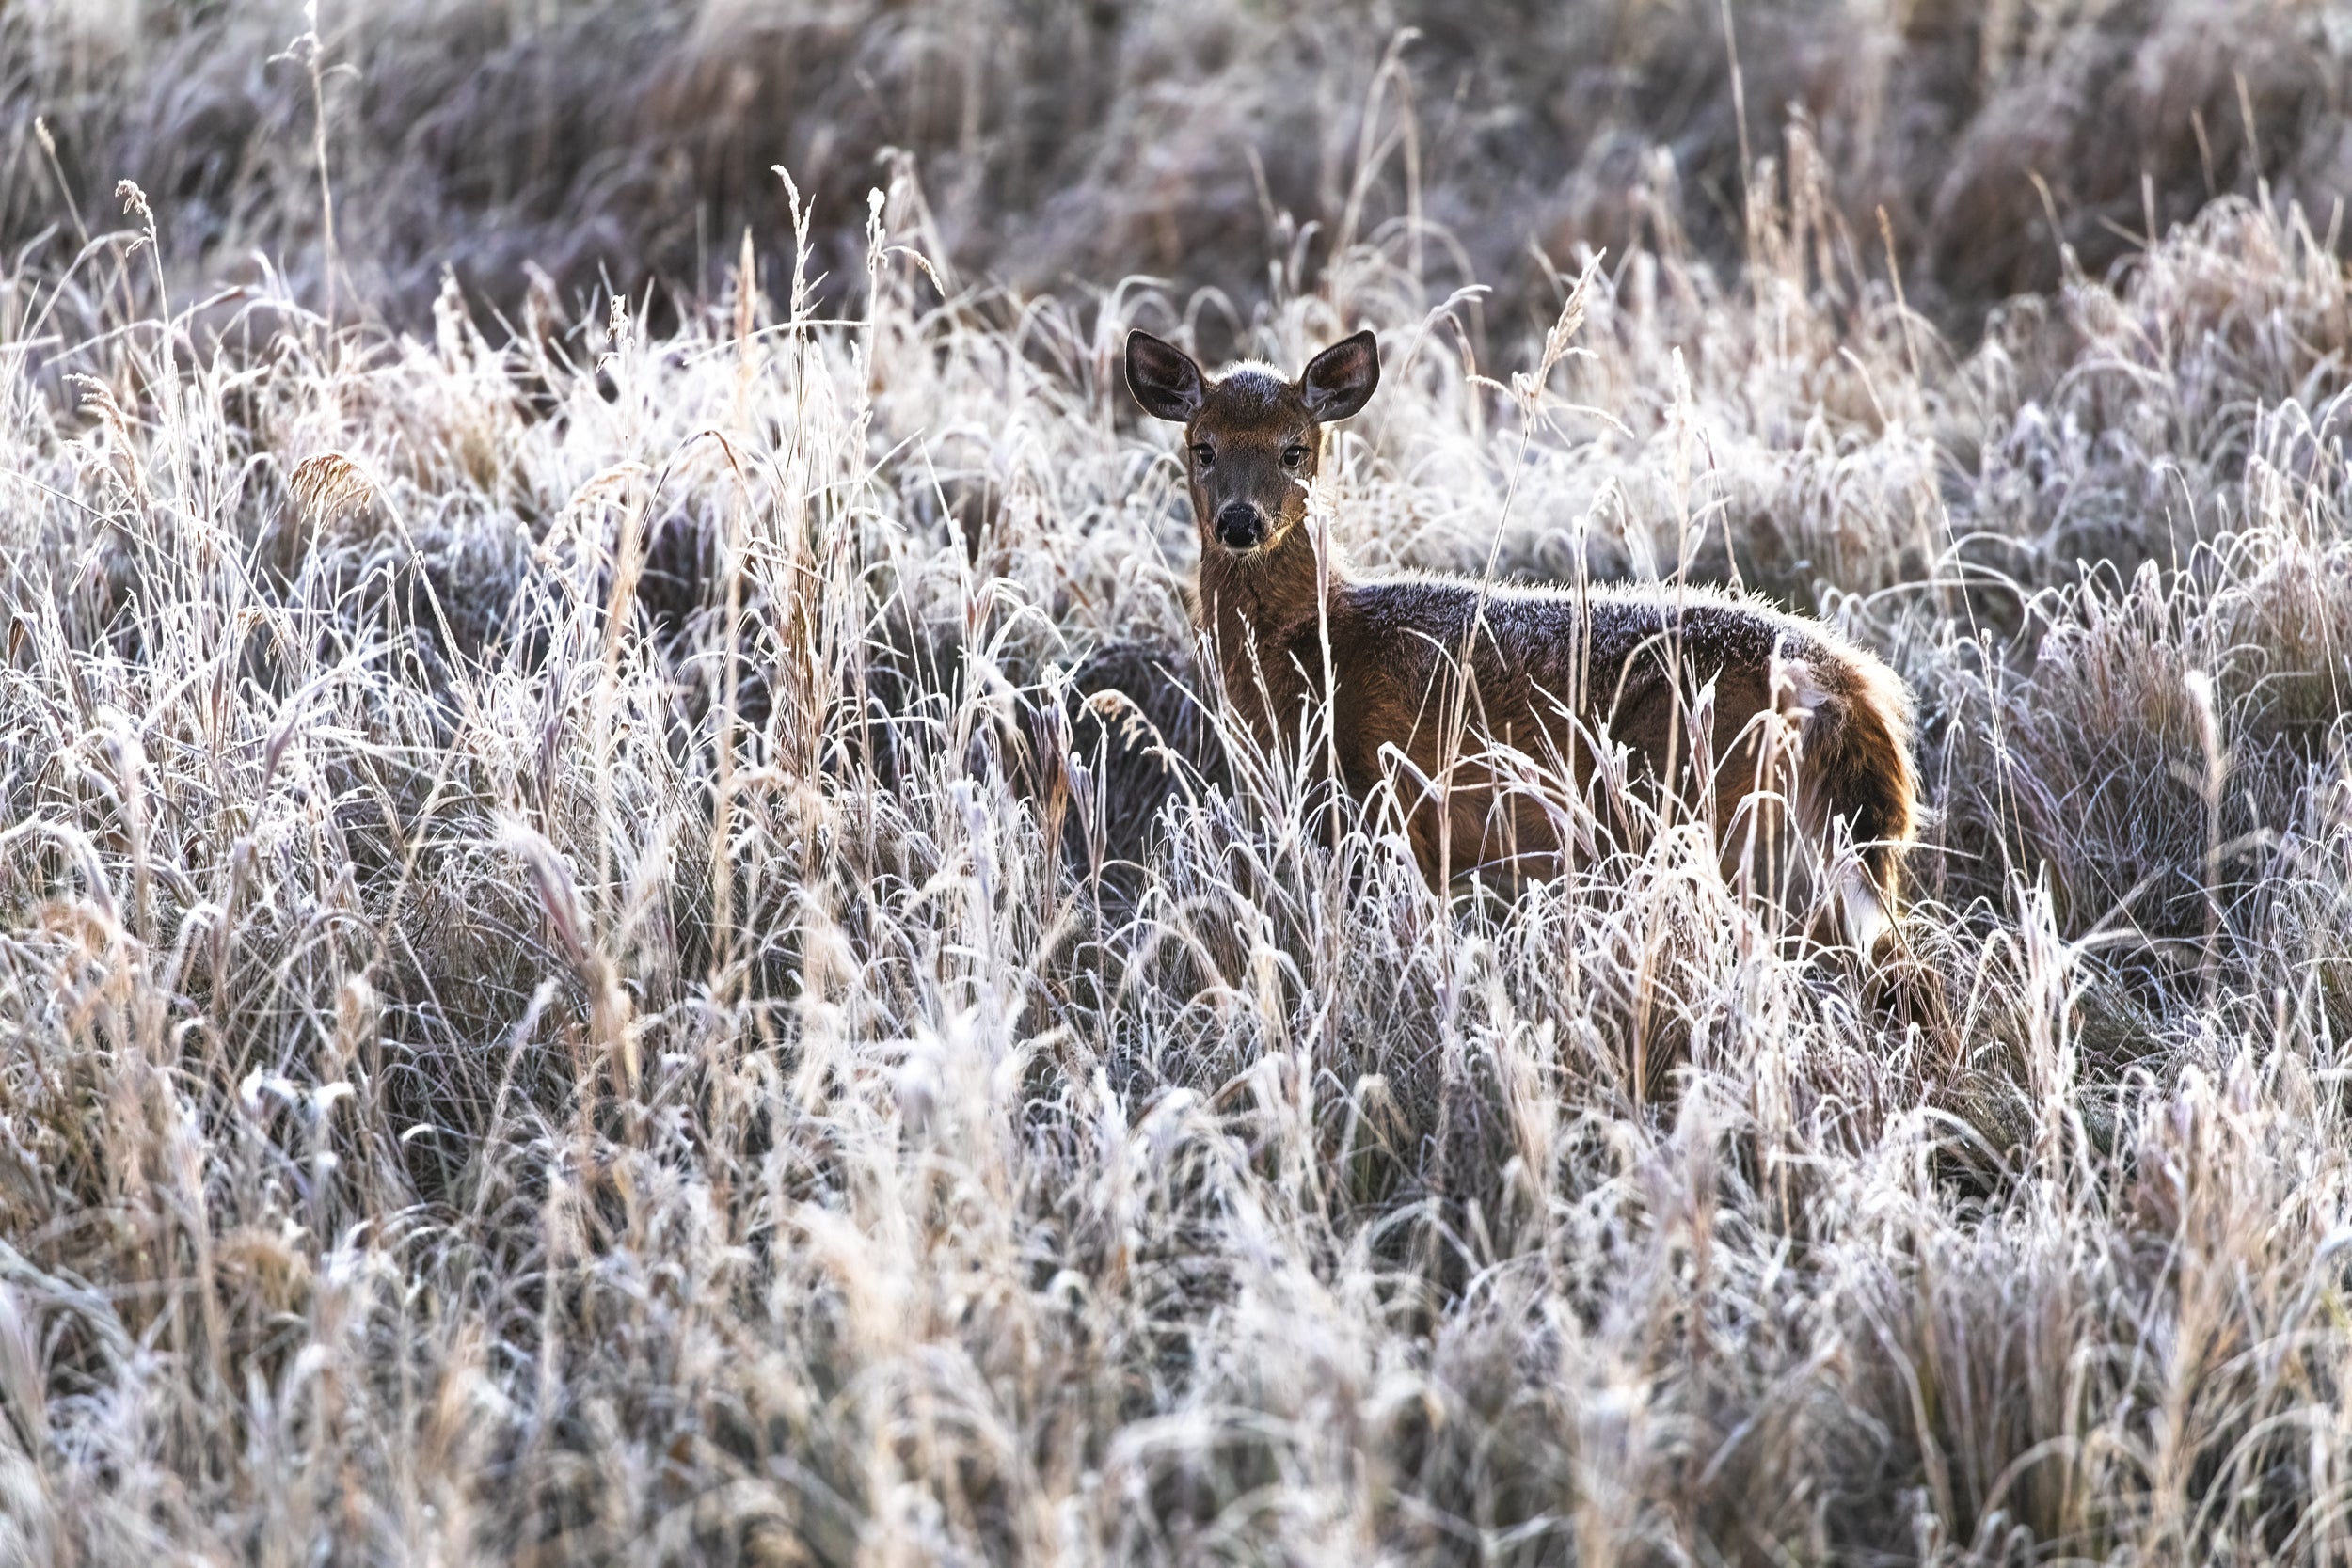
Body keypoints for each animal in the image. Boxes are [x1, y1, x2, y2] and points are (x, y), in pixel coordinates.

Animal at [1124, 326, 1920, 955]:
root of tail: (1846, 686)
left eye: (1295, 450)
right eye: (1202, 447)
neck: (1318, 646)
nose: (1240, 521)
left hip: (1725, 816)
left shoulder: (1391, 805)